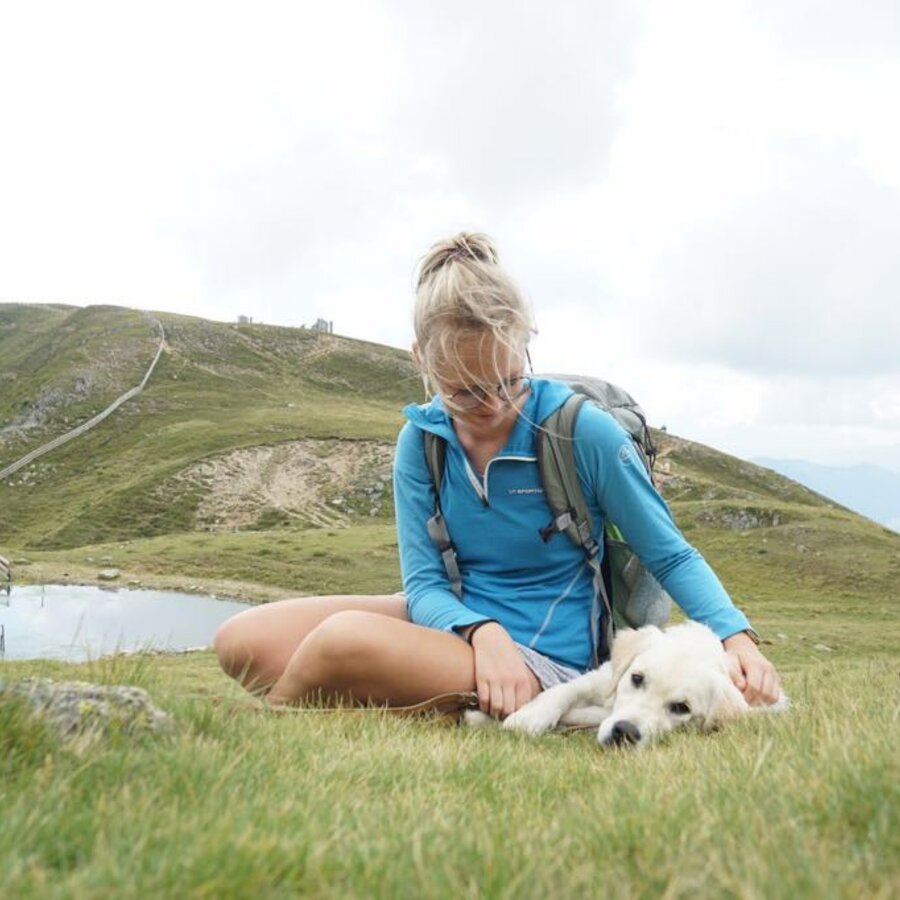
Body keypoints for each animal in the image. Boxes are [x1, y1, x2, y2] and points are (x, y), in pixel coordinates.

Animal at [472, 624, 788, 748]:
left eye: (681, 708)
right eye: (637, 678)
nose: (624, 732)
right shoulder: (602, 677)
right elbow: (564, 690)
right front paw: (530, 716)